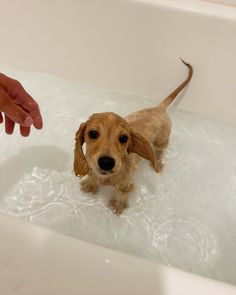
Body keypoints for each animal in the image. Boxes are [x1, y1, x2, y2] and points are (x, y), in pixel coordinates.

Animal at [74, 60, 194, 215]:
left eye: (124, 138)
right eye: (92, 133)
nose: (106, 162)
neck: (107, 178)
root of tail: (160, 108)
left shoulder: (126, 184)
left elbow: (121, 194)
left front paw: (118, 205)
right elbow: (93, 179)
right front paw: (90, 185)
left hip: (162, 140)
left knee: (159, 151)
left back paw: (157, 163)